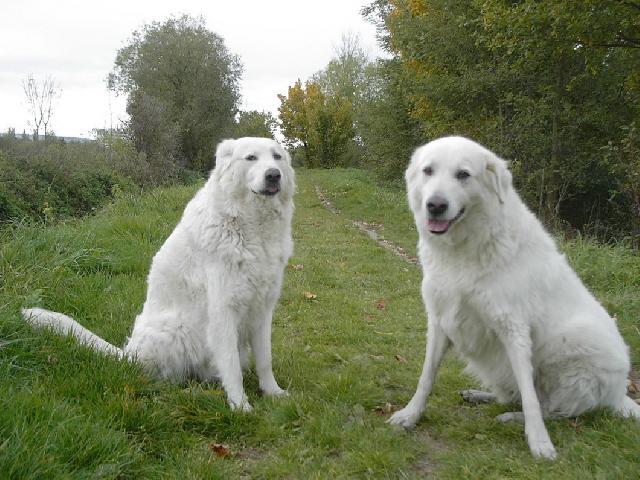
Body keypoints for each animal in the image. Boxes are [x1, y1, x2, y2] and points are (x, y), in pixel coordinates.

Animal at [22, 137, 296, 410]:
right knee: (159, 376)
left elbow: (265, 360)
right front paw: (240, 407)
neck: (253, 228)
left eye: (277, 157)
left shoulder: (262, 309)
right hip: (174, 329)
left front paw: (273, 392)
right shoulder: (223, 311)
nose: (274, 175)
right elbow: (231, 367)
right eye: (251, 158)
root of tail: (128, 355)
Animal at [390, 137, 640, 460]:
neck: (465, 248)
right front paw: (411, 415)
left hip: (575, 345)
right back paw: (480, 396)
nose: (435, 205)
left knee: (556, 409)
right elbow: (426, 377)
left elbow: (531, 398)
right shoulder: (440, 321)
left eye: (463, 174)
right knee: (514, 396)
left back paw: (513, 418)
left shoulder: (514, 329)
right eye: (428, 171)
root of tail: (620, 393)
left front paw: (539, 442)